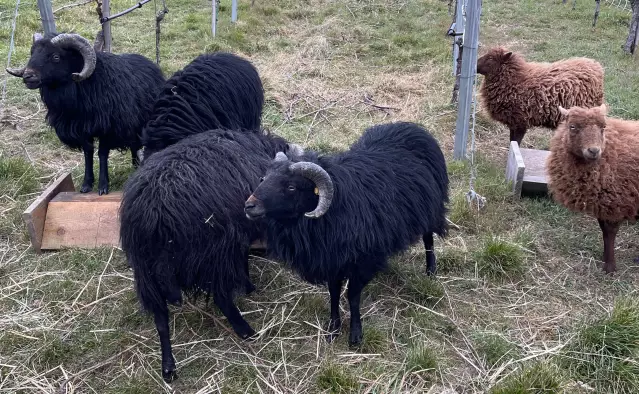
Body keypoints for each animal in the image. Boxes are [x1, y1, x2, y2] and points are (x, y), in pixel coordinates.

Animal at [6, 31, 165, 194]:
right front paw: (86, 184)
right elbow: (88, 153)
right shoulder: (81, 129)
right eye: (32, 53)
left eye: (55, 57)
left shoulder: (107, 129)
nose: (28, 76)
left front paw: (103, 186)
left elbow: (102, 153)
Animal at [119, 127, 294, 384]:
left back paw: (168, 367)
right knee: (221, 297)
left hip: (144, 270)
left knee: (161, 319)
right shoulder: (236, 234)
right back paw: (246, 331)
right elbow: (243, 260)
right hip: (213, 253)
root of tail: (155, 211)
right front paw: (249, 287)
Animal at [245, 121, 450, 346]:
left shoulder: (361, 261)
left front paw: (355, 334)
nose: (249, 206)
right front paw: (333, 328)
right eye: (263, 178)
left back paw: (431, 270)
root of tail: (412, 126)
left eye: (291, 187)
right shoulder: (331, 260)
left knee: (428, 238)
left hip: (431, 209)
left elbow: (352, 296)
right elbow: (334, 293)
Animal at [544, 104, 639, 274]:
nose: (594, 151)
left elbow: (610, 232)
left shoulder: (618, 202)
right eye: (573, 126)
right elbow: (603, 231)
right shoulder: (603, 203)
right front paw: (604, 257)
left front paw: (610, 267)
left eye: (603, 127)